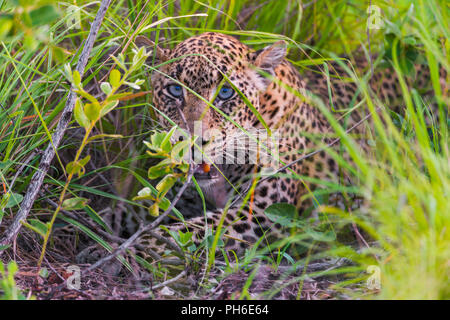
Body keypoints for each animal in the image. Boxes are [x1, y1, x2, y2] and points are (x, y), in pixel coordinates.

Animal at [134, 31, 446, 262]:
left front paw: (132, 254)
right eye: (175, 90)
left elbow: (182, 231)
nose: (192, 140)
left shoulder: (261, 214)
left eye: (225, 93)